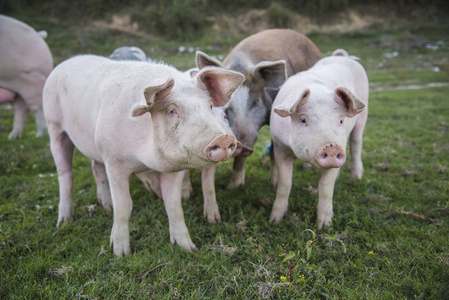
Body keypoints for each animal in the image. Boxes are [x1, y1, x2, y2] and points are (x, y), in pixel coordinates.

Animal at [43, 54, 242, 255]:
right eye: (172, 110)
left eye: (210, 106)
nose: (223, 138)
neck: (144, 160)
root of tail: (63, 64)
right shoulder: (114, 162)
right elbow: (124, 205)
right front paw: (121, 253)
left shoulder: (174, 169)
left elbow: (174, 204)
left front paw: (189, 248)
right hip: (54, 127)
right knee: (65, 174)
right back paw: (63, 222)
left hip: (94, 144)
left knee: (95, 166)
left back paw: (106, 206)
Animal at [270, 48, 368, 227]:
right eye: (303, 119)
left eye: (341, 120)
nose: (331, 146)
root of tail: (344, 57)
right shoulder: (280, 146)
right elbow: (285, 183)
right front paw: (274, 220)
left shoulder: (340, 152)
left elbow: (326, 186)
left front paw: (325, 225)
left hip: (362, 115)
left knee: (356, 143)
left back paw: (356, 177)